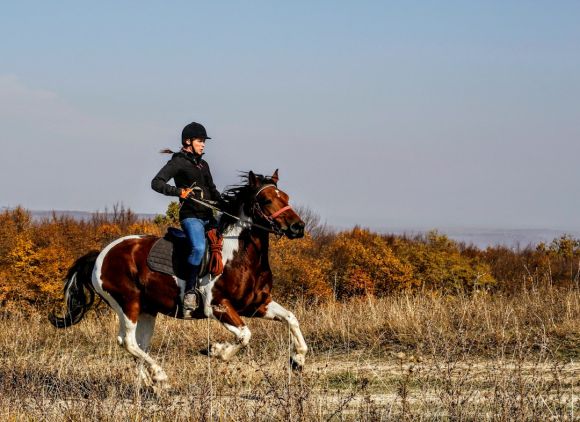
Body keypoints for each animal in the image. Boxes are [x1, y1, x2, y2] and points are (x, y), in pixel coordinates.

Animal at [48, 170, 308, 388]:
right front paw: (216, 350)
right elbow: (245, 335)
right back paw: (160, 376)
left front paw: (297, 360)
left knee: (138, 344)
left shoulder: (257, 304)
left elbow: (291, 319)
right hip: (127, 303)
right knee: (128, 341)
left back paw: (149, 383)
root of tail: (101, 254)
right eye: (266, 200)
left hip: (147, 310)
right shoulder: (218, 306)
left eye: (285, 196)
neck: (240, 255)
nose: (298, 227)